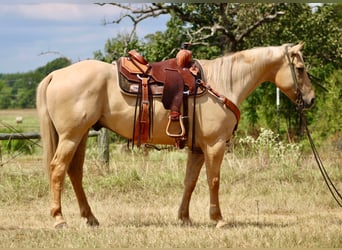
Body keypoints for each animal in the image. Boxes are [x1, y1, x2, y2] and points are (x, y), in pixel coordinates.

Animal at [36, 43, 314, 229]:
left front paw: (184, 217)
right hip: (71, 136)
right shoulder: (214, 145)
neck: (224, 83)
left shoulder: (197, 149)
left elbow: (189, 181)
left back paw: (90, 218)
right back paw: (59, 219)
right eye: (300, 68)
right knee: (58, 169)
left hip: (81, 135)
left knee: (75, 172)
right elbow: (214, 181)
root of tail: (56, 74)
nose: (310, 100)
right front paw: (218, 219)